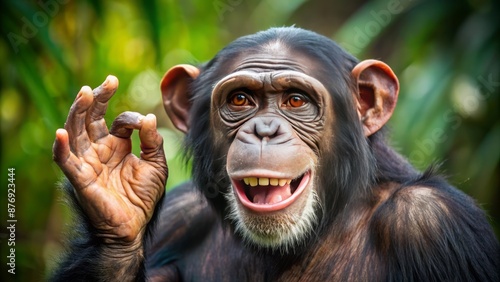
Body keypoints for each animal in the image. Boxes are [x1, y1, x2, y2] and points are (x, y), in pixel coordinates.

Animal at [49, 27, 496, 282]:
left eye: (296, 100)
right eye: (241, 99)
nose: (265, 129)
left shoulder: (436, 225)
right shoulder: (180, 215)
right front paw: (115, 191)